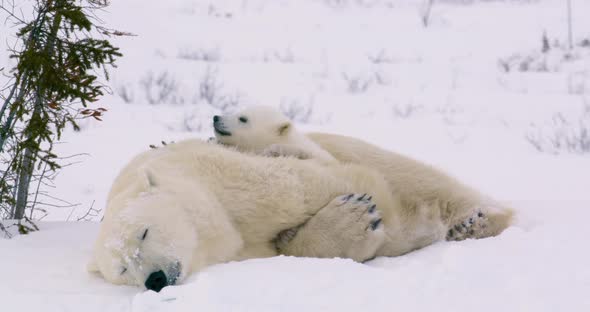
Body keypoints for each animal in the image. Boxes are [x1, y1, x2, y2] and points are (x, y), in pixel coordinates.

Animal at [90, 138, 396, 292]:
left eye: (144, 233)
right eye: (123, 269)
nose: (154, 280)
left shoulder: (230, 182)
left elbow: (313, 185)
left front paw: (363, 208)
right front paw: (353, 220)